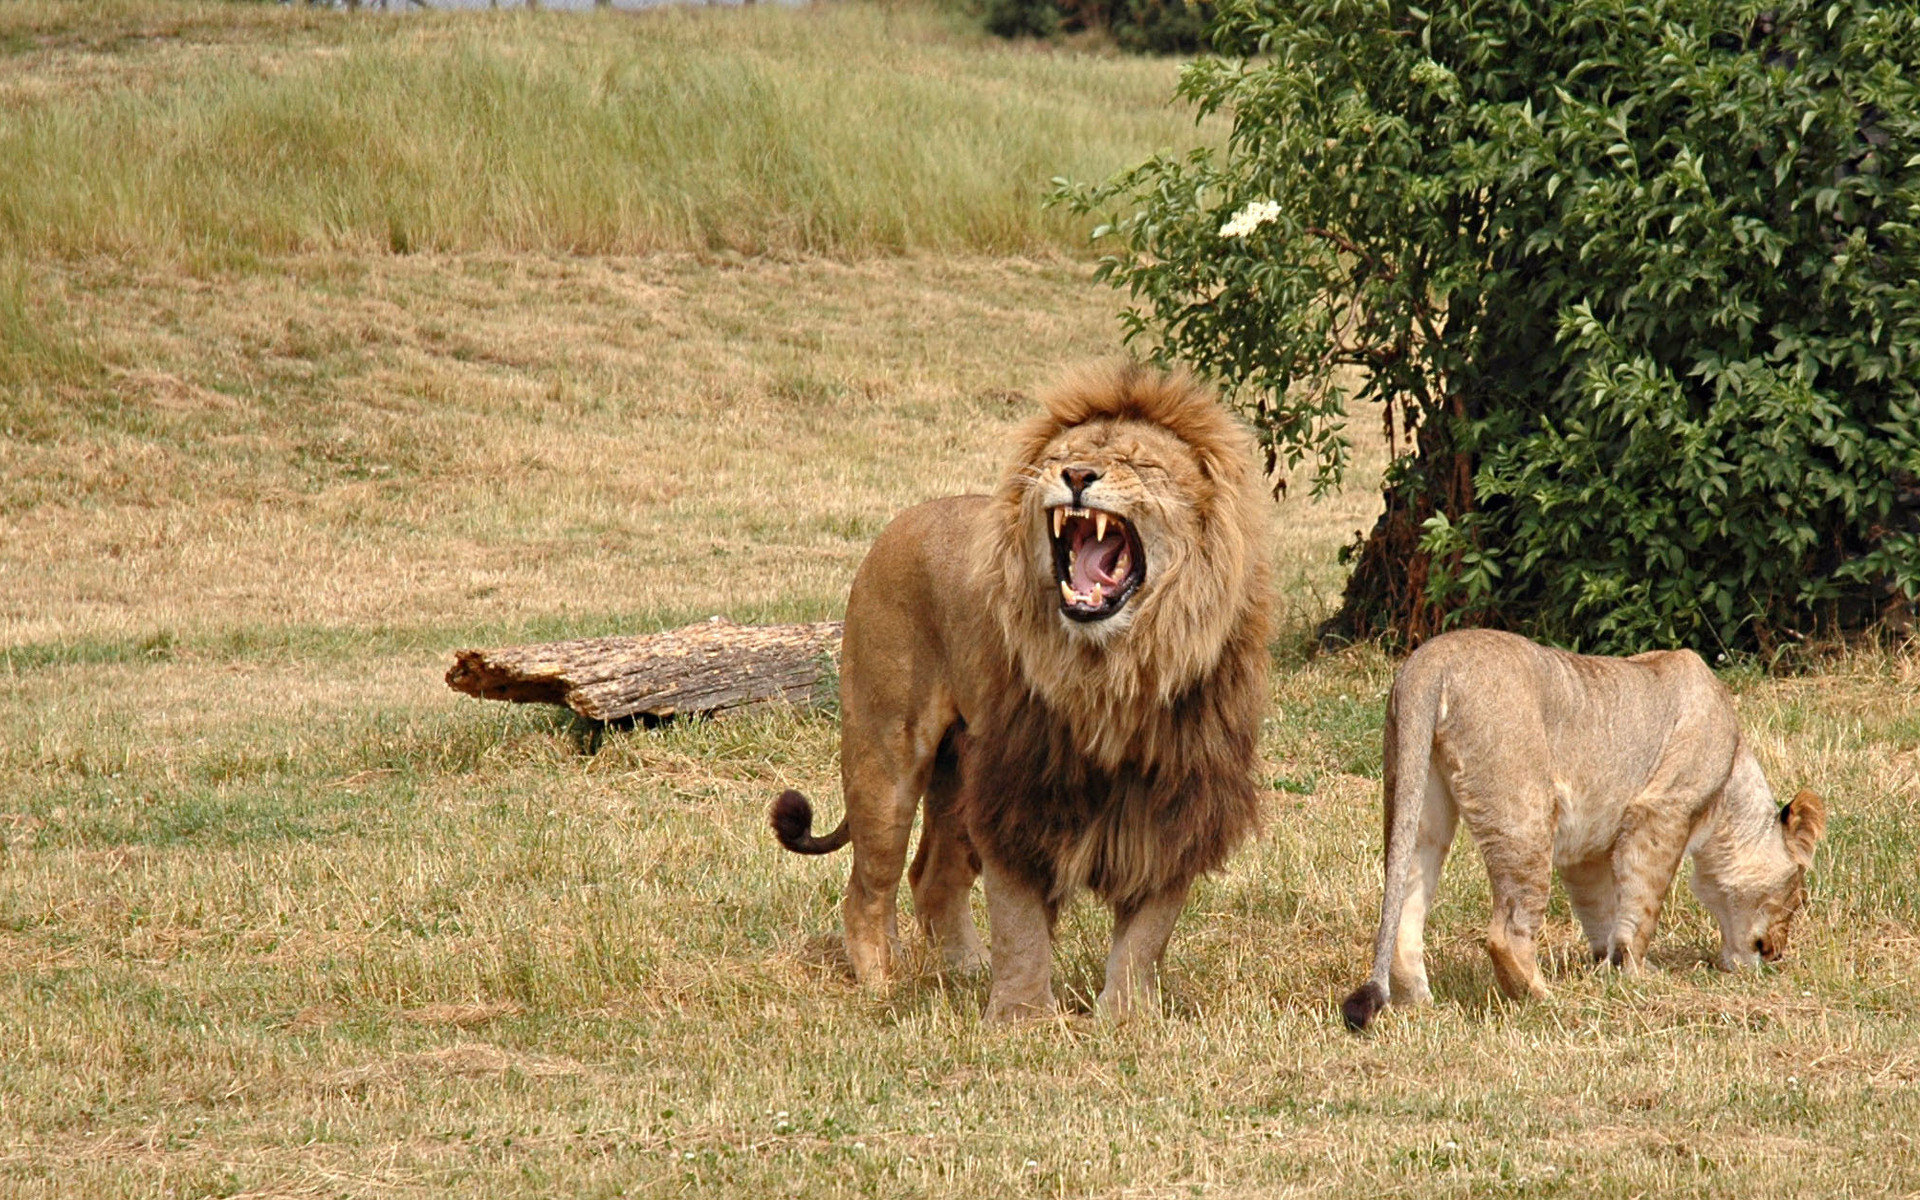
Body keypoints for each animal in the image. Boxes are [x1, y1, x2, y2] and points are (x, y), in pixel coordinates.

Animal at [764, 360, 1274, 1013]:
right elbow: (1021, 925)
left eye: (1138, 463)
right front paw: (1021, 1019)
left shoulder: (1177, 800)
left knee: (933, 877)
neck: (1114, 671)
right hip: (885, 754)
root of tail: (904, 519)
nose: (1077, 476)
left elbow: (1146, 936)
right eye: (1064, 456)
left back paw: (964, 969)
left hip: (957, 771)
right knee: (868, 887)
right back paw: (883, 984)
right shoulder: (1018, 789)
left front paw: (1126, 1020)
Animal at [1344, 625, 1820, 1029]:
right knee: (1505, 933)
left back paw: (1421, 1003)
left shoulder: (1587, 848)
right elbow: (1642, 905)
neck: (1732, 782)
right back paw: (1543, 999)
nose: (1776, 953)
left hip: (1417, 795)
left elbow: (1603, 909)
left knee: (1405, 899)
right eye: (1796, 897)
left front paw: (1611, 967)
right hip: (1526, 811)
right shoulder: (1662, 810)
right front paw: (1638, 976)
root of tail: (1430, 661)